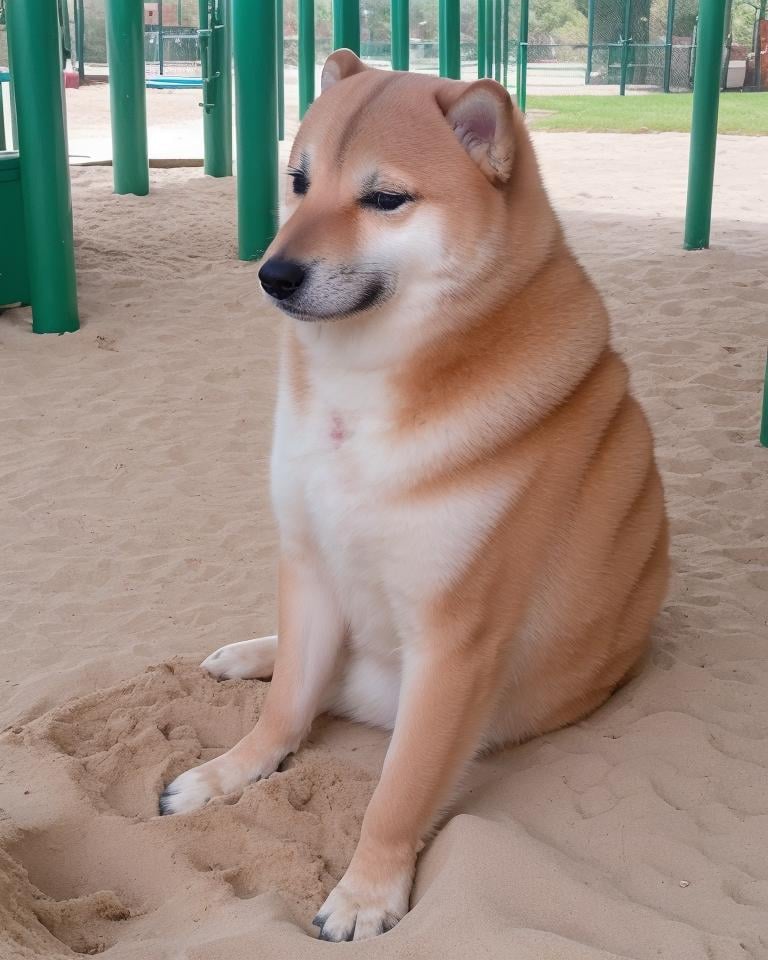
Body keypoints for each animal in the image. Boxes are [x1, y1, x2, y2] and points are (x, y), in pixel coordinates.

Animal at [160, 48, 664, 940]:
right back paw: (248, 654)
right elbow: (282, 715)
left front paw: (367, 892)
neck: (362, 396)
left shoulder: (454, 643)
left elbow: (397, 794)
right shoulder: (307, 565)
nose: (272, 273)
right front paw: (227, 772)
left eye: (385, 199)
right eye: (298, 180)